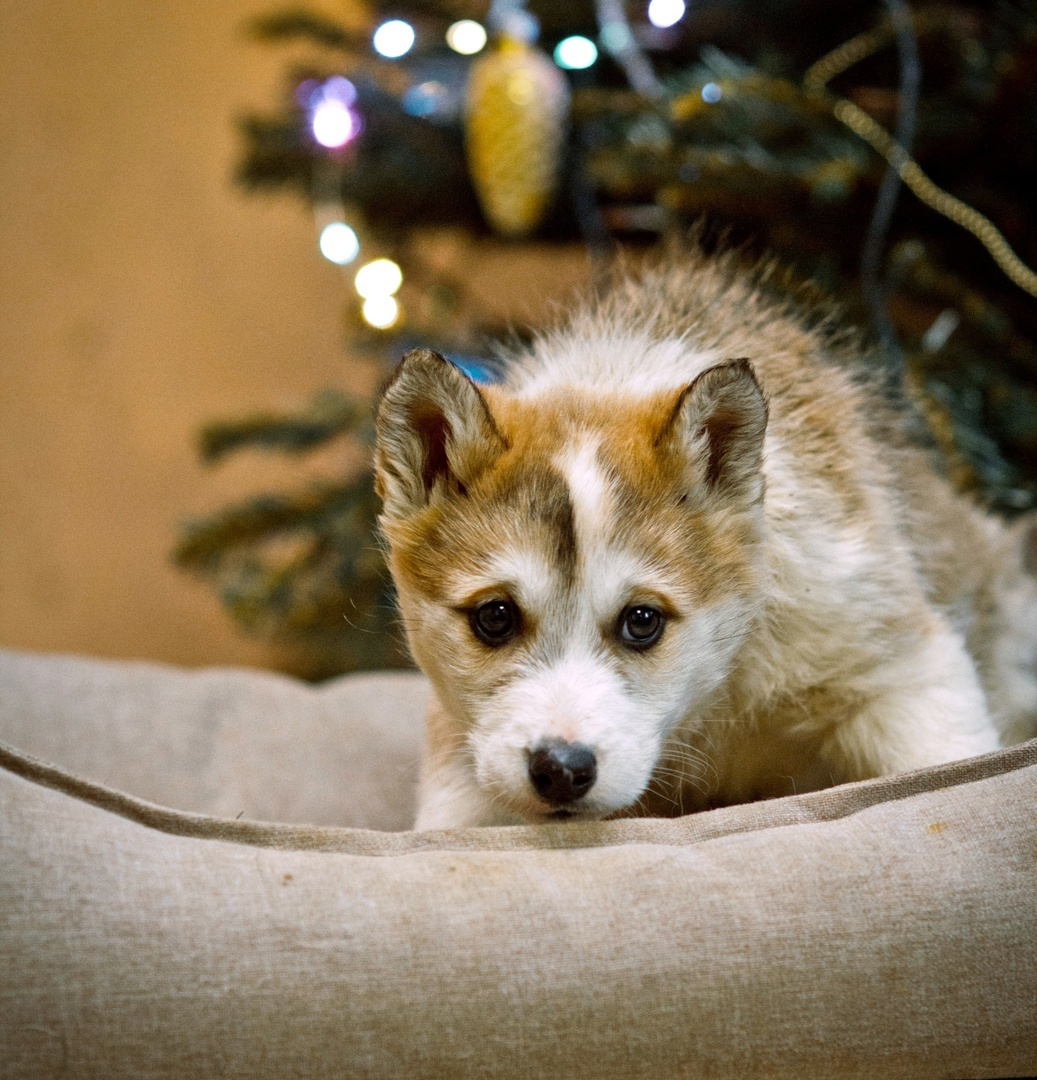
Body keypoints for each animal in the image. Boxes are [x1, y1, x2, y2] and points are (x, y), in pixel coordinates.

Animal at [371, 252, 1037, 825]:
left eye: (642, 621)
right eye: (495, 617)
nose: (561, 770)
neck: (711, 697)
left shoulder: (903, 673)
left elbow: (944, 764)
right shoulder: (463, 747)